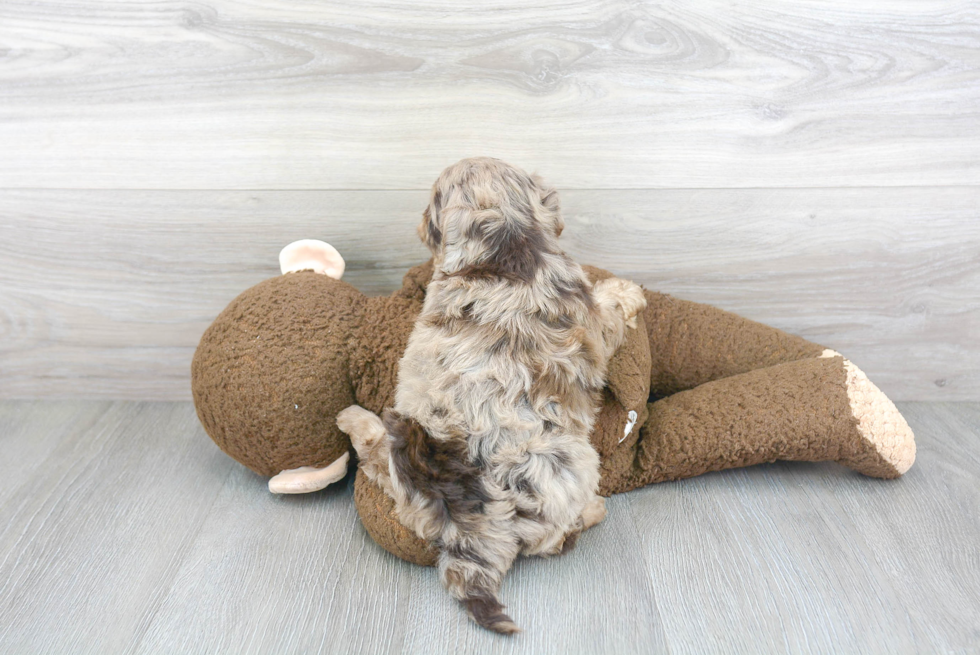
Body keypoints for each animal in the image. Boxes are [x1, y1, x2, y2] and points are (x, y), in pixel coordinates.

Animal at [340, 156, 648, 632]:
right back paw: (594, 511)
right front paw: (627, 291)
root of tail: (459, 507)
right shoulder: (591, 322)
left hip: (402, 458)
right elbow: (611, 312)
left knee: (377, 460)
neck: (500, 236)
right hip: (569, 464)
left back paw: (355, 420)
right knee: (552, 541)